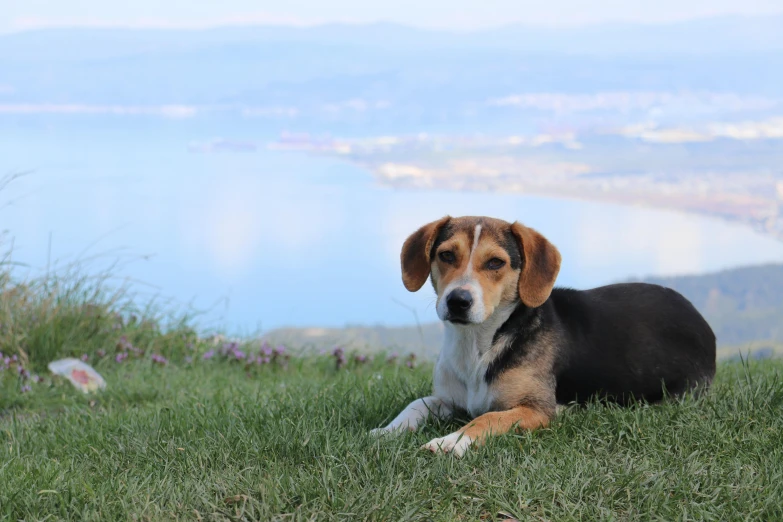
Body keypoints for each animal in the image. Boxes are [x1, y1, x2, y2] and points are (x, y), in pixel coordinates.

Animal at [370, 215, 720, 456]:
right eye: (445, 255)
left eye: (495, 262)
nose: (458, 301)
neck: (478, 345)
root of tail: (700, 320)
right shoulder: (448, 399)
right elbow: (416, 404)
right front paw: (387, 431)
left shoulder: (535, 410)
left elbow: (486, 419)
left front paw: (451, 441)